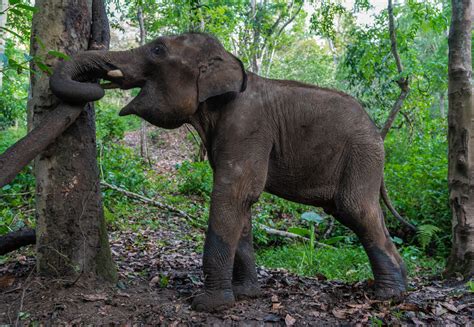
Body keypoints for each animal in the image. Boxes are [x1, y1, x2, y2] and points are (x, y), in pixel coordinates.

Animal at [51, 32, 408, 312]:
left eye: (158, 50)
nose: (97, 87)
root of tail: (376, 132)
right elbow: (242, 205)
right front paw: (246, 294)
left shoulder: (246, 127)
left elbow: (233, 193)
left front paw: (208, 305)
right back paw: (398, 289)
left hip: (362, 156)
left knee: (355, 209)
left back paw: (388, 296)